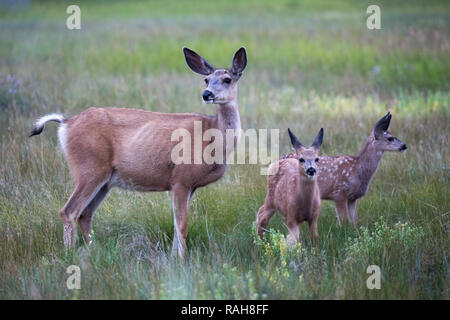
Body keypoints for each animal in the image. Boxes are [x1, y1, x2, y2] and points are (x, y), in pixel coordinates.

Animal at [29, 46, 248, 258]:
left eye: (227, 79)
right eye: (206, 80)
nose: (206, 94)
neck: (213, 138)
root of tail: (66, 123)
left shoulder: (188, 185)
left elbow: (175, 225)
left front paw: (173, 259)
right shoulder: (180, 178)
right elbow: (182, 225)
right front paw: (182, 261)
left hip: (105, 180)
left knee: (85, 214)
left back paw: (93, 252)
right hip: (89, 168)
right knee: (69, 211)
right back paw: (70, 255)